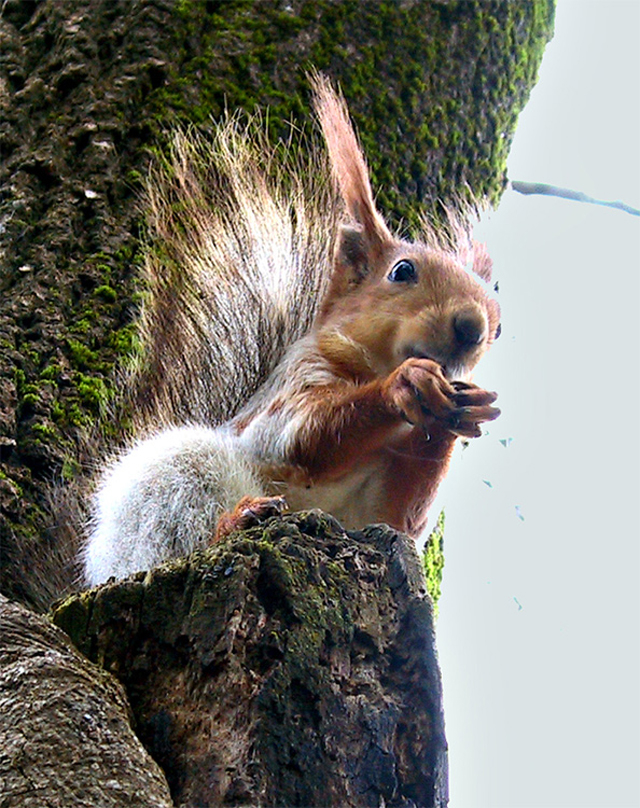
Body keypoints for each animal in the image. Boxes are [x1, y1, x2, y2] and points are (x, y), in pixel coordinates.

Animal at [81, 76, 500, 588]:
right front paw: (403, 385)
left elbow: (399, 516)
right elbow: (299, 434)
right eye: (402, 271)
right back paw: (233, 522)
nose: (472, 327)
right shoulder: (292, 383)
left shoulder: (373, 514)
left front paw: (457, 412)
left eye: (499, 324)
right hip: (173, 480)